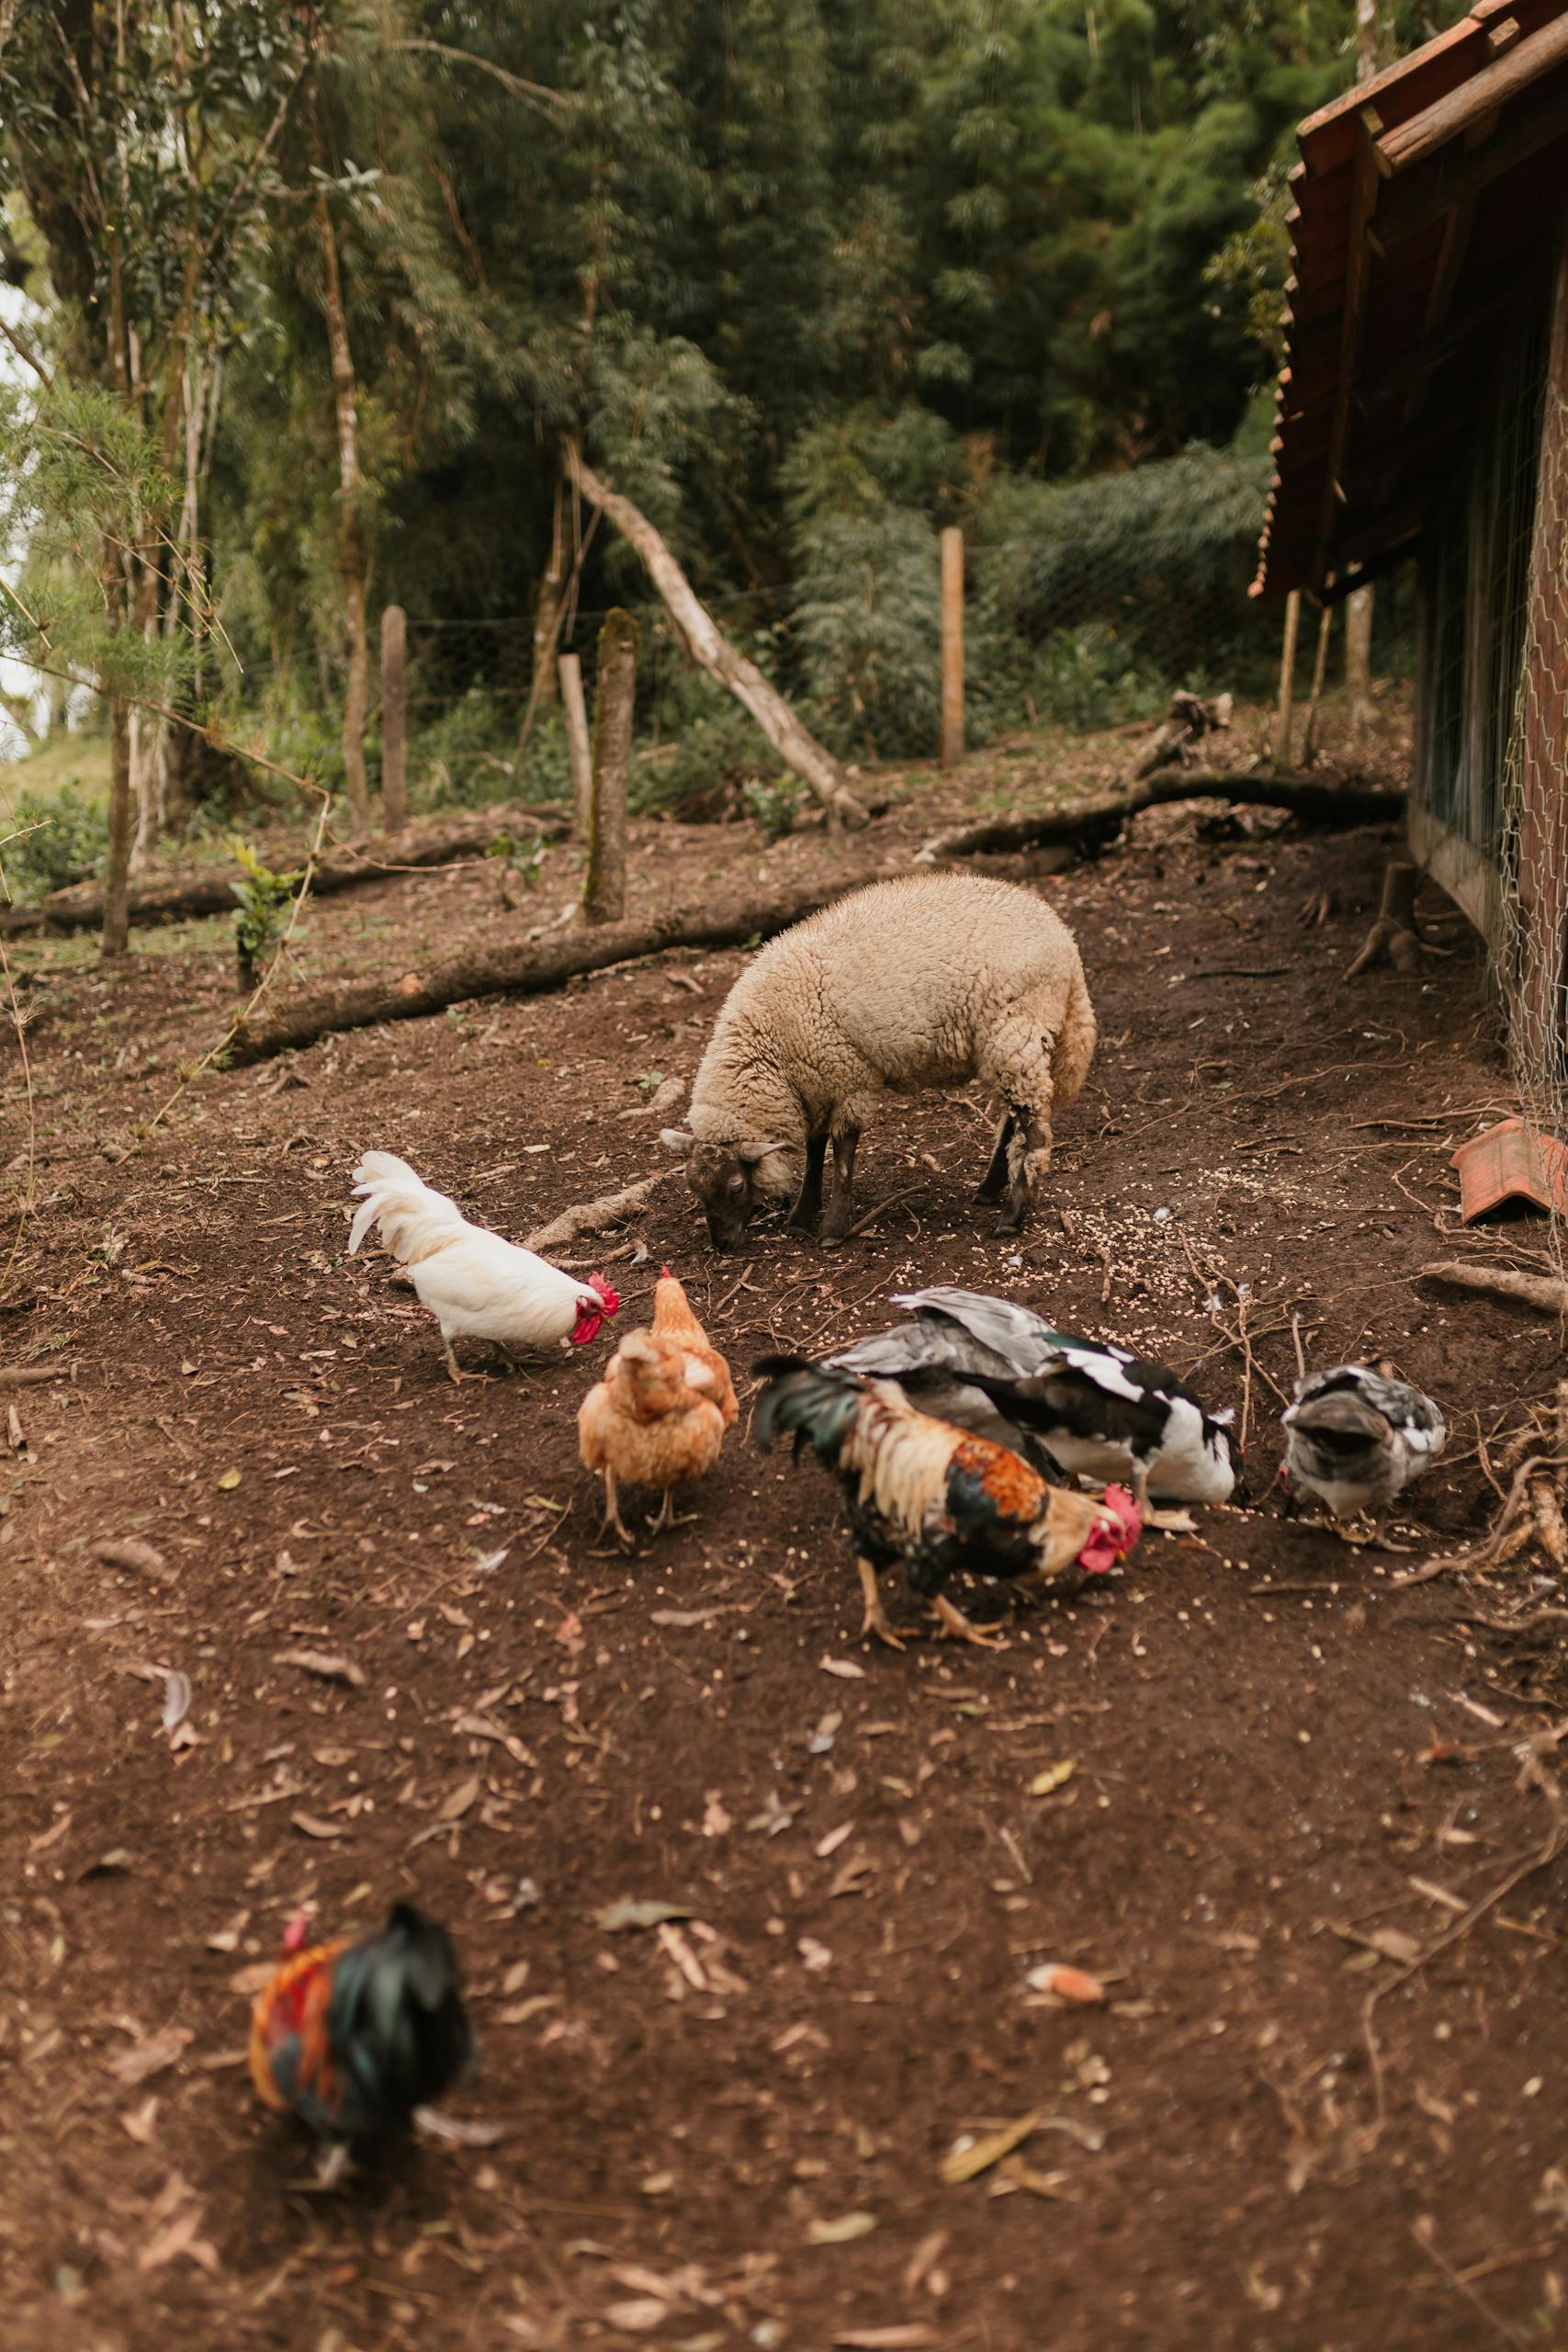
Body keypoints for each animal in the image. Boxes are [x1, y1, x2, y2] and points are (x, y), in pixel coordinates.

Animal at [660, 873, 1096, 1248]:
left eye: (735, 1186)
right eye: (695, 1188)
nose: (722, 1246)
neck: (771, 1050)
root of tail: (1065, 941)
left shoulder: (848, 1077)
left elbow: (842, 1153)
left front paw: (833, 1229)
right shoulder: (816, 1083)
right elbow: (815, 1151)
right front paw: (801, 1216)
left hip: (1017, 1027)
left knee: (1031, 1125)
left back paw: (1012, 1216)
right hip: (998, 1044)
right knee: (1011, 1118)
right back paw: (989, 1190)